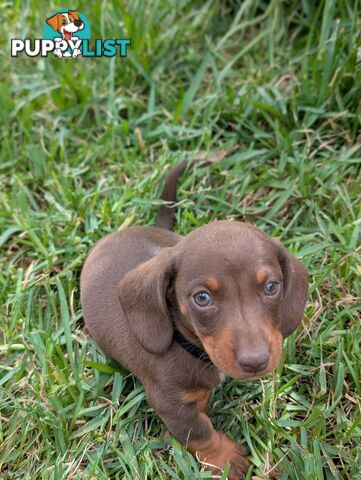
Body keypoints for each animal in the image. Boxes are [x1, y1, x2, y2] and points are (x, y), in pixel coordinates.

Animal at [81, 159, 306, 478]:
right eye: (202, 298)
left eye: (272, 287)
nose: (256, 362)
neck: (187, 344)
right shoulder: (172, 404)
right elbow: (200, 432)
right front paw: (226, 459)